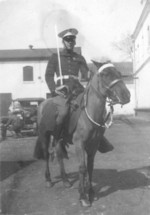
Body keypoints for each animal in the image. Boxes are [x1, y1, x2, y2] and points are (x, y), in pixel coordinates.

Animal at [33, 62, 130, 207]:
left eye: (119, 73)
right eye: (105, 74)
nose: (126, 95)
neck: (88, 113)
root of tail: (42, 104)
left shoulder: (93, 145)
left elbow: (90, 167)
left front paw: (91, 192)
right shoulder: (80, 144)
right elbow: (82, 168)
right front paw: (83, 196)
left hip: (58, 138)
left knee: (59, 155)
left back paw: (65, 180)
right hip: (44, 135)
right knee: (46, 155)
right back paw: (48, 180)